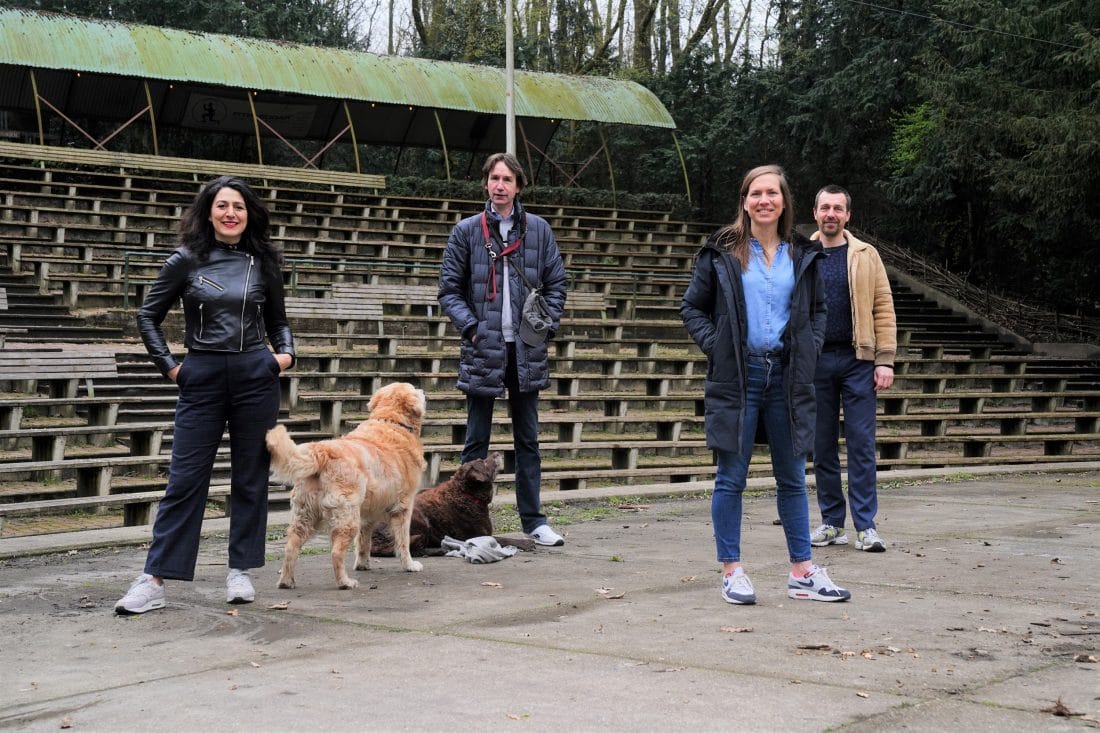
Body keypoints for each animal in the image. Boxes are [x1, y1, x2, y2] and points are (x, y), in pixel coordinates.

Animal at [266, 378, 429, 585]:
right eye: (414, 388)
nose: (423, 390)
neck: (392, 422)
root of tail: (323, 452)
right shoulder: (403, 508)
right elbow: (403, 540)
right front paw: (409, 565)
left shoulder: (368, 514)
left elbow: (364, 541)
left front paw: (363, 564)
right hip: (347, 518)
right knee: (336, 552)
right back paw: (345, 582)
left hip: (305, 515)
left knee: (291, 547)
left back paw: (286, 582)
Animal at [369, 449, 532, 556]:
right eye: (483, 462)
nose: (497, 453)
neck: (466, 494)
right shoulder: (476, 536)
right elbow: (504, 539)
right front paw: (526, 543)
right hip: (420, 520)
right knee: (413, 549)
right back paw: (439, 550)